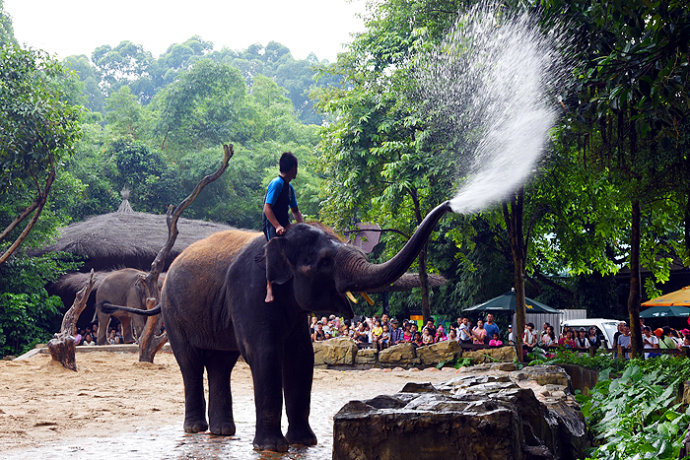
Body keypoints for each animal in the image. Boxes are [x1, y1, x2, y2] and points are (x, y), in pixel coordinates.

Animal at [99, 202, 448, 452]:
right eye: (324, 261)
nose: (449, 205)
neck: (280, 240)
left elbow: (301, 358)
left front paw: (304, 443)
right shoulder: (250, 290)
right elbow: (264, 355)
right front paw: (272, 448)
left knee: (221, 364)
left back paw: (223, 432)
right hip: (174, 313)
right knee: (191, 363)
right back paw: (197, 429)